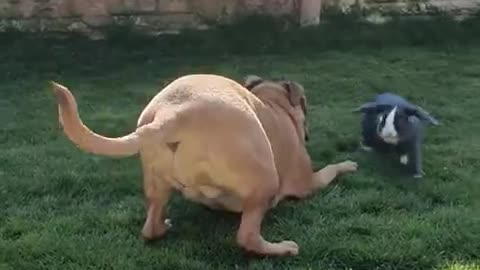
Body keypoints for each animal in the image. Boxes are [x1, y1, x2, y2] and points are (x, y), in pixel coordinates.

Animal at [49, 74, 356, 258]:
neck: (274, 103)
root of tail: (172, 115)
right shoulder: (307, 182)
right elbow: (331, 169)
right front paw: (348, 165)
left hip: (156, 183)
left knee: (150, 226)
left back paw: (163, 226)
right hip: (265, 178)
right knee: (247, 236)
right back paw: (282, 248)